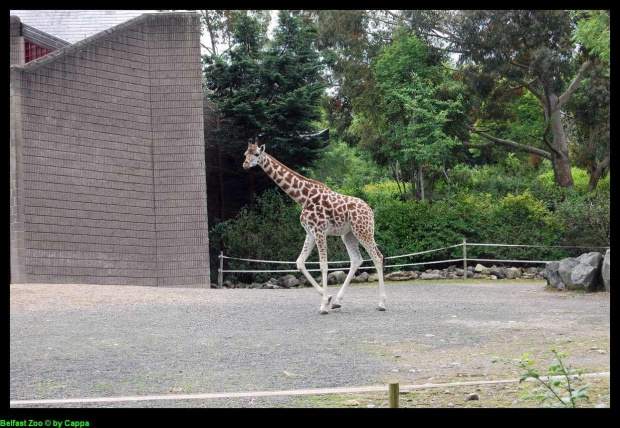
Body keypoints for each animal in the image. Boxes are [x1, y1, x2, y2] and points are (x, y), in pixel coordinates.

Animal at [243, 138, 386, 314]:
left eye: (256, 154)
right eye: (245, 153)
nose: (245, 164)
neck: (303, 197)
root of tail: (370, 211)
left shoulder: (319, 231)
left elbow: (323, 265)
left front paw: (323, 305)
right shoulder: (310, 233)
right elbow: (299, 263)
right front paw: (328, 298)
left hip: (363, 231)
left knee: (377, 257)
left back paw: (381, 303)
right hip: (348, 235)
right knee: (356, 260)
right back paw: (337, 301)